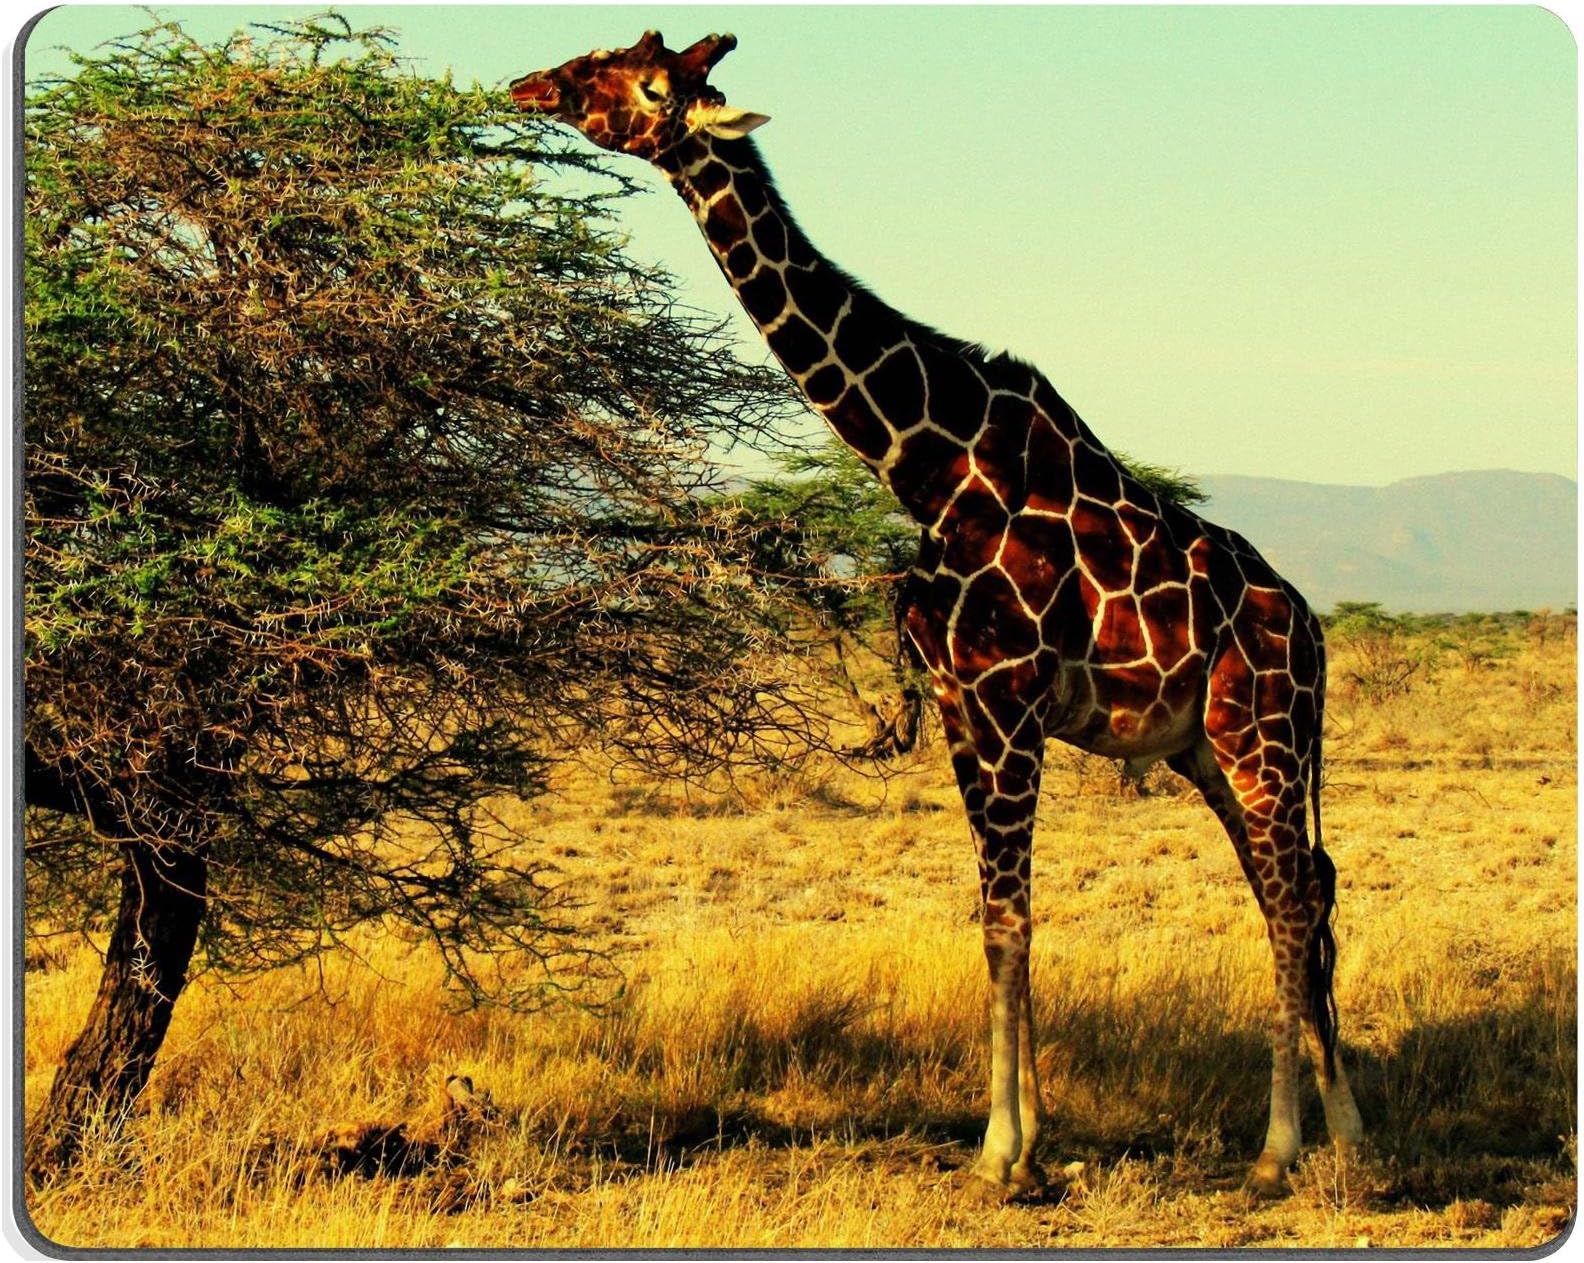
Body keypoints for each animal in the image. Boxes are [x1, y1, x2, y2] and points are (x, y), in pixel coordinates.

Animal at [511, 30, 1365, 1197]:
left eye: (647, 82)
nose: (528, 85)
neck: (922, 460)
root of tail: (1312, 627)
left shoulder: (1006, 699)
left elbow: (1009, 918)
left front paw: (1002, 1151)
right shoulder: (963, 704)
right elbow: (997, 914)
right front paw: (1027, 1137)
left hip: (1261, 731)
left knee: (1291, 896)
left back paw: (1291, 1151)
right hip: (1210, 750)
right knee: (1301, 892)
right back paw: (1334, 1137)